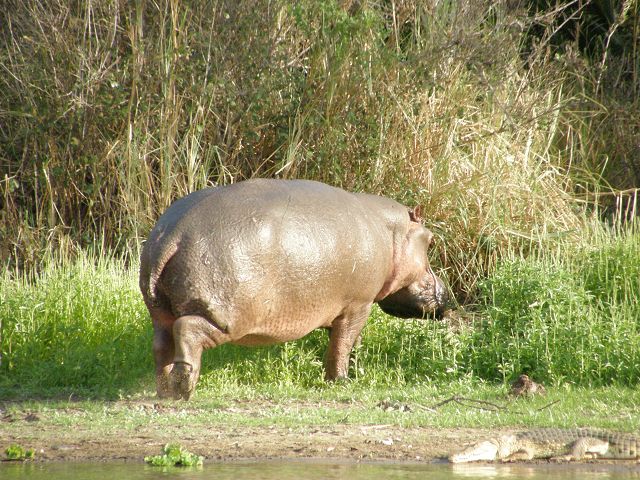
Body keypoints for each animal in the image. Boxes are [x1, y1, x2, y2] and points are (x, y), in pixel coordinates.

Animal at [140, 179, 448, 400]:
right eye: (430, 240)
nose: (445, 294)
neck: (390, 232)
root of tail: (173, 234)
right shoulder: (358, 305)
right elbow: (344, 343)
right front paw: (342, 381)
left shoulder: (341, 309)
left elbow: (344, 344)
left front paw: (352, 371)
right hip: (228, 316)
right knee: (187, 331)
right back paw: (184, 389)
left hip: (159, 311)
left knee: (161, 344)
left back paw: (165, 390)